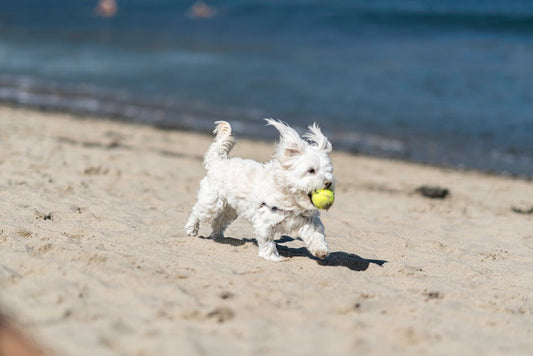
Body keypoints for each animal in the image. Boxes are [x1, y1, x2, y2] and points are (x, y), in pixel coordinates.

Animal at [185, 119, 334, 262]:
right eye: (311, 170)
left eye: (329, 171)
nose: (328, 183)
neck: (290, 199)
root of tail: (219, 162)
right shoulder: (264, 221)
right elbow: (267, 242)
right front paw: (272, 257)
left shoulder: (308, 221)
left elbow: (316, 235)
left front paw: (320, 250)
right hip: (212, 203)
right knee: (197, 212)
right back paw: (191, 229)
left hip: (230, 209)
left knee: (218, 221)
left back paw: (219, 237)